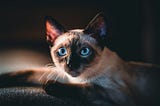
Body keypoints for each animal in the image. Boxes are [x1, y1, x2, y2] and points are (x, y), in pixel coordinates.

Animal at [0, 12, 160, 106]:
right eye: (62, 51)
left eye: (84, 51)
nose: (71, 64)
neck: (76, 79)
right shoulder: (60, 73)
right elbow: (27, 72)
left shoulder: (118, 95)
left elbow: (88, 87)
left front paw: (50, 85)